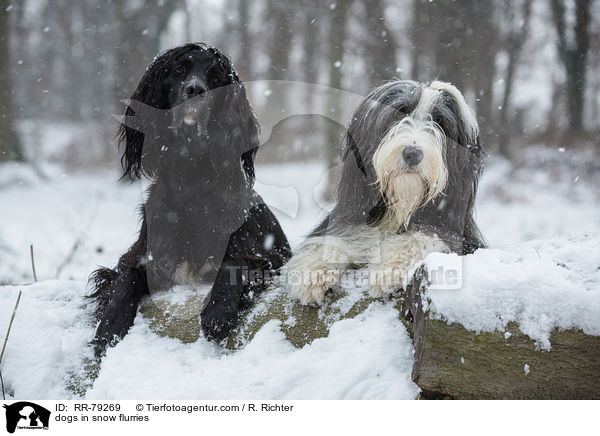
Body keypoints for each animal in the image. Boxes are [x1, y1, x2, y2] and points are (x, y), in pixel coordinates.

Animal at [89, 43, 292, 358]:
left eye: (217, 78)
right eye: (179, 70)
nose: (195, 90)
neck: (191, 177)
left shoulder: (268, 256)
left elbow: (235, 262)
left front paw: (217, 313)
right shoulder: (141, 256)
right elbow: (125, 279)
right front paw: (109, 328)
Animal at [284, 80, 486, 304]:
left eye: (440, 123)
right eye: (398, 113)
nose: (412, 154)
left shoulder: (459, 235)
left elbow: (423, 236)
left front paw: (389, 269)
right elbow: (338, 236)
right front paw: (311, 272)